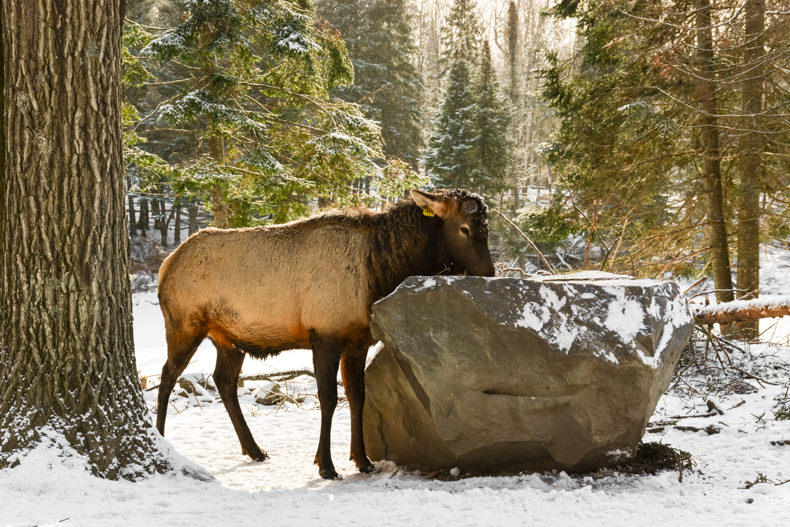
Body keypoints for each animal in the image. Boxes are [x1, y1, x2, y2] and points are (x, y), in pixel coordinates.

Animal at [155, 189, 496, 478]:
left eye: (487, 228)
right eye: (465, 229)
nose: (489, 274)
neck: (379, 272)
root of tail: (165, 265)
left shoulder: (358, 341)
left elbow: (357, 396)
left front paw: (362, 460)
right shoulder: (324, 336)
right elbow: (329, 399)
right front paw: (326, 465)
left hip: (229, 338)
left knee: (223, 381)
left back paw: (254, 450)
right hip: (184, 325)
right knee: (167, 376)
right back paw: (160, 436)